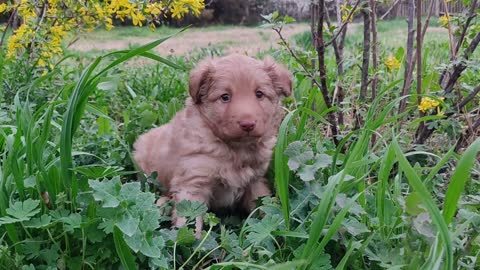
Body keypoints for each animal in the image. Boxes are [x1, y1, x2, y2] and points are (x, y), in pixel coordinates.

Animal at [133, 53, 294, 236]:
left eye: (259, 94)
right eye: (225, 97)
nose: (247, 124)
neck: (235, 149)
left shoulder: (255, 180)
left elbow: (264, 205)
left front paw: (278, 229)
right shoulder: (192, 183)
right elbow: (189, 221)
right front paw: (192, 242)